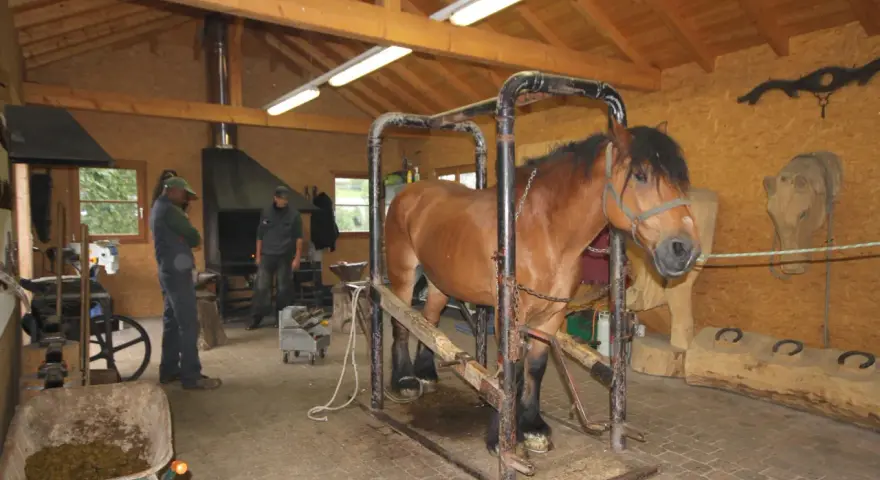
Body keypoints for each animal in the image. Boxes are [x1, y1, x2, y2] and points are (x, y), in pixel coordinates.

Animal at [383, 119, 701, 455]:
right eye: (640, 175)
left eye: (679, 180)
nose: (684, 249)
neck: (543, 229)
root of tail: (409, 193)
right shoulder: (510, 316)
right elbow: (510, 373)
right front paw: (500, 438)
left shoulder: (551, 315)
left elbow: (535, 368)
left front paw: (533, 427)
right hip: (404, 275)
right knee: (400, 320)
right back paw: (404, 381)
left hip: (440, 281)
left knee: (427, 320)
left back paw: (426, 374)